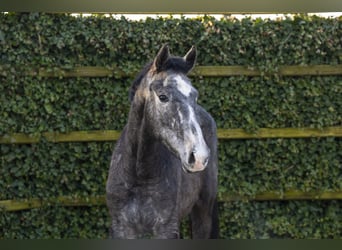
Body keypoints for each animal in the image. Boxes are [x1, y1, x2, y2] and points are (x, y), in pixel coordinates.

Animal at [105, 44, 219, 239]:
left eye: (195, 96)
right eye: (163, 97)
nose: (199, 157)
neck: (139, 176)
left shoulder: (166, 229)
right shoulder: (122, 229)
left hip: (204, 212)